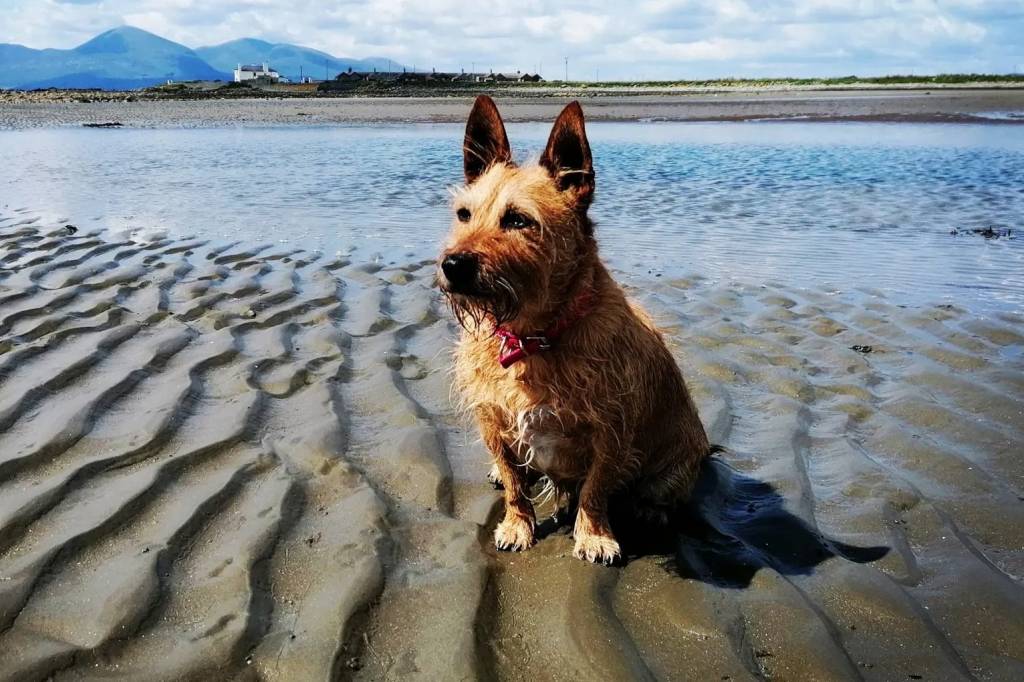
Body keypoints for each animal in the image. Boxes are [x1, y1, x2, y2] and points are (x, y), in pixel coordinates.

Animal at [438, 96, 710, 564]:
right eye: (464, 214)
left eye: (518, 220)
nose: (452, 265)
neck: (531, 338)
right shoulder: (492, 419)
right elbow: (514, 483)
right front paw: (518, 524)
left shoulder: (612, 431)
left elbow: (595, 488)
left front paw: (594, 534)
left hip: (678, 461)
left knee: (663, 491)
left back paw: (650, 509)